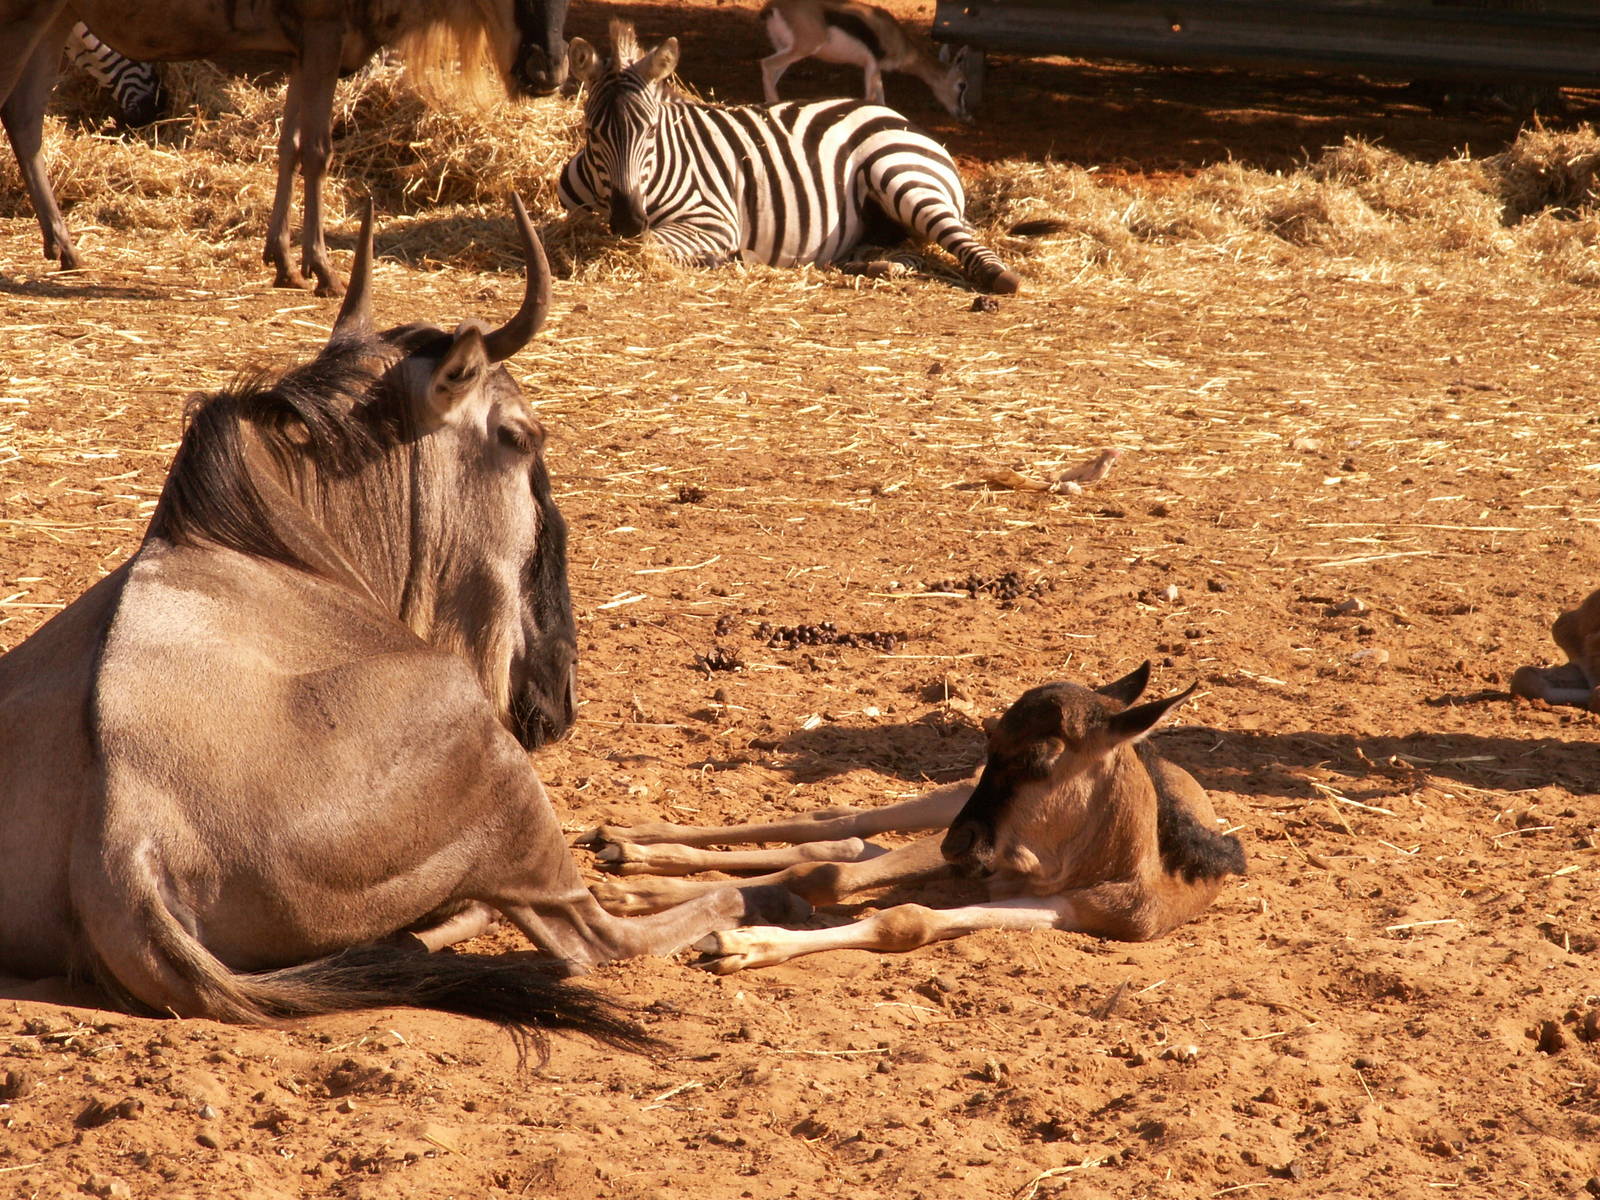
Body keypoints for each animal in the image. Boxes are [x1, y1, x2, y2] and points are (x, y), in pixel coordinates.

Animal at [582, 663, 1246, 972]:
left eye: (1040, 756)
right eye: (989, 739)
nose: (961, 846)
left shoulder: (1069, 911)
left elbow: (905, 919)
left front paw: (742, 943)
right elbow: (827, 874)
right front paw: (645, 898)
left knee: (845, 844)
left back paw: (634, 859)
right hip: (944, 803)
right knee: (837, 826)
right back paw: (631, 844)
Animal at [759, 0, 977, 122]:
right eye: (962, 85)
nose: (964, 115)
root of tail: (772, 7)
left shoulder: (874, 69)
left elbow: (882, 101)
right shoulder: (871, 64)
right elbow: (870, 98)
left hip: (787, 50)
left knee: (772, 72)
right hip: (803, 48)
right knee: (766, 64)